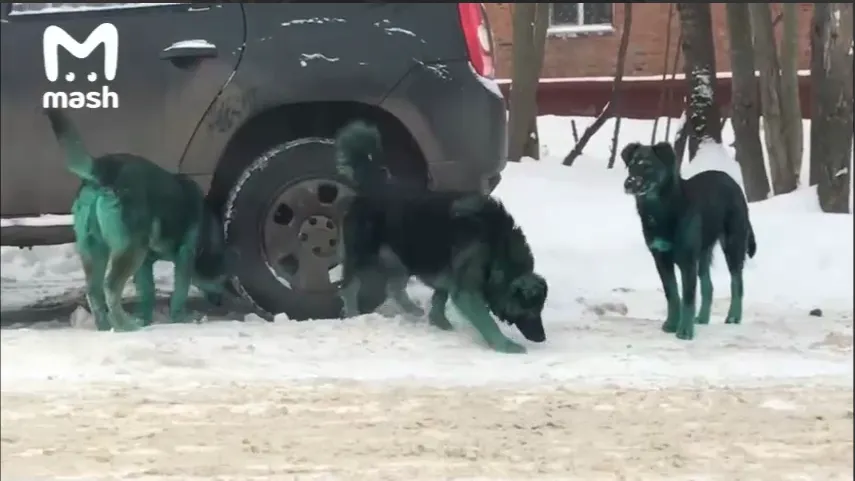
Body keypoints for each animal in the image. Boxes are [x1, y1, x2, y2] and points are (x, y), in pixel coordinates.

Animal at [45, 108, 236, 330]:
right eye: (223, 280)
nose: (220, 302)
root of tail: (104, 167)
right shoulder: (184, 256)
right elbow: (179, 292)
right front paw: (179, 318)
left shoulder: (146, 263)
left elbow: (148, 294)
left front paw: (146, 320)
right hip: (131, 250)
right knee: (110, 287)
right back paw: (125, 326)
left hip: (95, 250)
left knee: (94, 291)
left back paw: (106, 328)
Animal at [336, 120, 548, 352]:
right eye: (531, 310)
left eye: (540, 309)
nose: (542, 338)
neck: (497, 244)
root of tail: (375, 182)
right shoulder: (466, 291)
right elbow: (487, 321)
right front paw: (505, 345)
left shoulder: (449, 276)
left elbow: (440, 297)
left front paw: (440, 323)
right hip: (362, 256)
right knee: (348, 288)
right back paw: (353, 315)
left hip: (401, 258)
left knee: (393, 288)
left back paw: (412, 310)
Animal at [620, 141, 756, 340]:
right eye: (631, 165)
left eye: (648, 166)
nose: (628, 184)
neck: (662, 208)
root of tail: (733, 182)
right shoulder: (661, 257)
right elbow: (672, 294)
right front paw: (671, 324)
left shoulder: (687, 259)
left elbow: (688, 297)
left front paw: (685, 330)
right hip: (704, 252)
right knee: (708, 286)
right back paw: (703, 317)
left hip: (733, 243)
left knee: (737, 282)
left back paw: (733, 316)